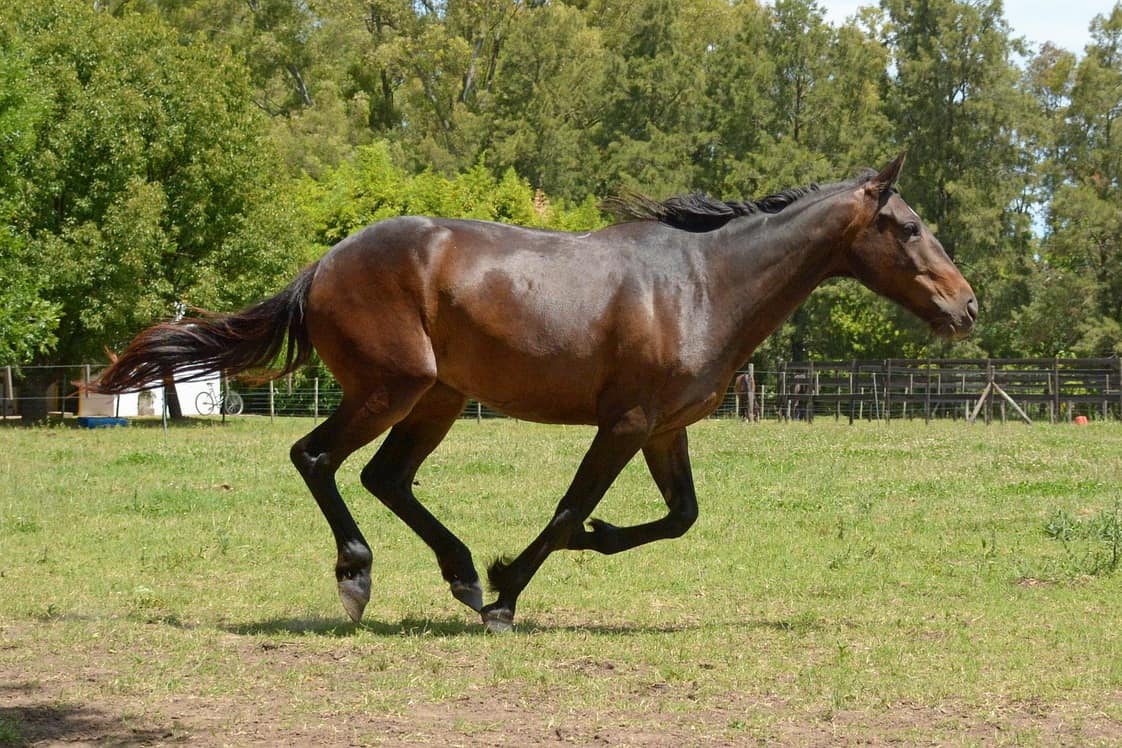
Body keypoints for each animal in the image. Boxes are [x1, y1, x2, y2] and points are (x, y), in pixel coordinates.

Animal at [94, 154, 976, 632]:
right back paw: (359, 579)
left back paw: (458, 572)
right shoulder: (625, 424)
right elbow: (566, 510)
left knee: (386, 477)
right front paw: (508, 591)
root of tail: (323, 265)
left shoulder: (667, 430)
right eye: (908, 227)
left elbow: (679, 517)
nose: (966, 306)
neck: (703, 283)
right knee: (315, 457)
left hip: (439, 399)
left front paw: (556, 554)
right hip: (393, 387)